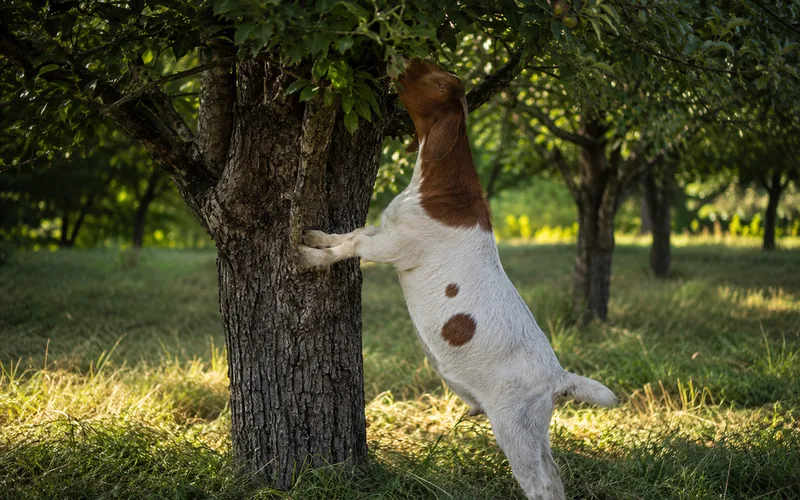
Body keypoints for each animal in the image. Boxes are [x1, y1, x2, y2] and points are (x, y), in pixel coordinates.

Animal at [298, 58, 617, 500]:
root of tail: (558, 378)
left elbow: (352, 246)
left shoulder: (396, 246)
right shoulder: (384, 230)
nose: (402, 59)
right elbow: (351, 233)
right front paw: (315, 235)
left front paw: (307, 257)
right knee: (554, 476)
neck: (441, 190)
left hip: (513, 425)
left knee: (538, 483)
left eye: (437, 83)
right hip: (535, 429)